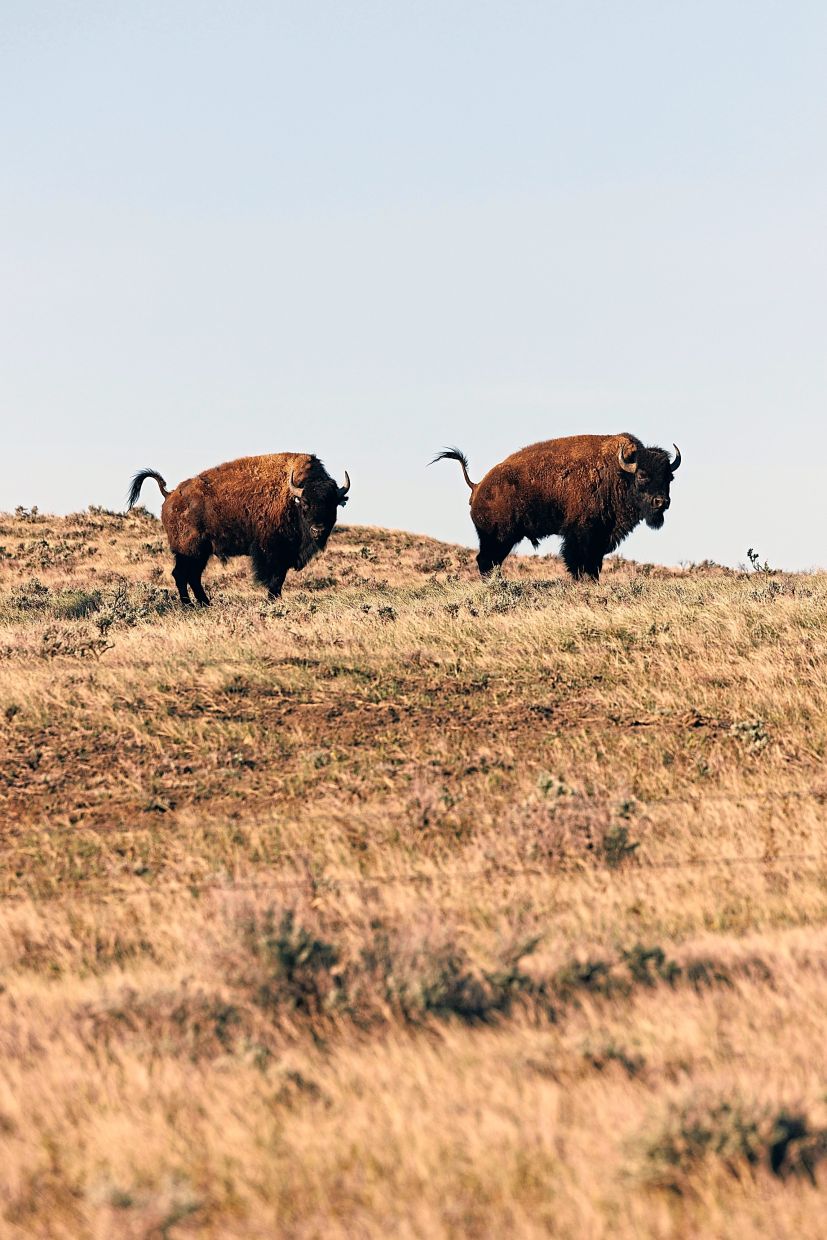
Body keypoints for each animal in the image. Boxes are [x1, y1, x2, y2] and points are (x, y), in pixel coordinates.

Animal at [127, 453, 350, 606]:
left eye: (332, 504)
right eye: (305, 504)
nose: (318, 530)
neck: (291, 498)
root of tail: (170, 494)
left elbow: (279, 579)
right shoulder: (272, 553)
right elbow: (275, 579)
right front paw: (272, 600)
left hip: (200, 553)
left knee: (192, 576)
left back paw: (204, 604)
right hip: (190, 551)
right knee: (182, 575)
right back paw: (190, 604)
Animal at [432, 433, 681, 580]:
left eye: (669, 477)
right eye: (642, 475)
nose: (662, 502)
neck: (618, 473)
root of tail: (477, 485)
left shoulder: (601, 536)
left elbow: (595, 563)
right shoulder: (581, 535)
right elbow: (579, 561)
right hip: (498, 537)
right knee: (486, 561)